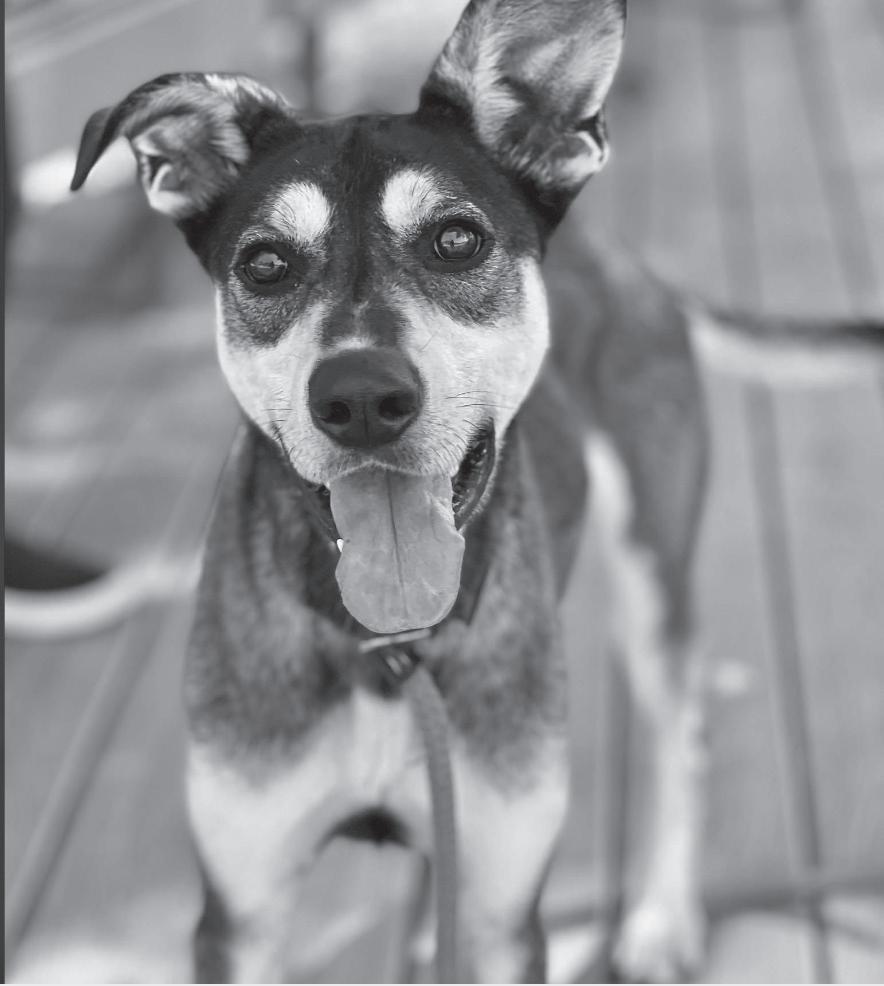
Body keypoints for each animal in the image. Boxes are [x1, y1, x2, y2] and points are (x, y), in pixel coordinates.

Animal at [70, 0, 883, 981]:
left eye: (456, 240)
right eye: (265, 264)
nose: (361, 400)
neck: (387, 650)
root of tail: (624, 261)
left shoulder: (503, 912)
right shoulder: (241, 911)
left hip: (654, 573)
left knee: (682, 732)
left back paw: (660, 918)